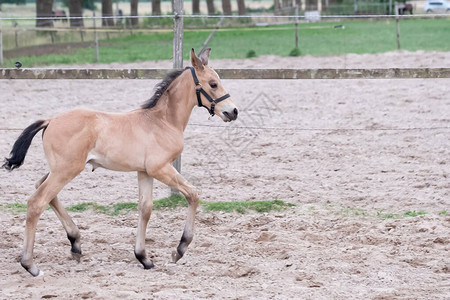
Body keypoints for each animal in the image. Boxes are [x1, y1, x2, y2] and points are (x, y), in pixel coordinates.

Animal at [2, 48, 239, 276]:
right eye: (213, 84)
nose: (233, 111)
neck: (163, 121)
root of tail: (50, 120)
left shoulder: (145, 172)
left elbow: (146, 208)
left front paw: (144, 258)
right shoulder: (160, 168)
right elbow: (193, 194)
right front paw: (179, 249)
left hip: (60, 169)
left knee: (41, 188)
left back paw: (75, 243)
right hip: (66, 170)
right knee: (37, 202)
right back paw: (30, 265)